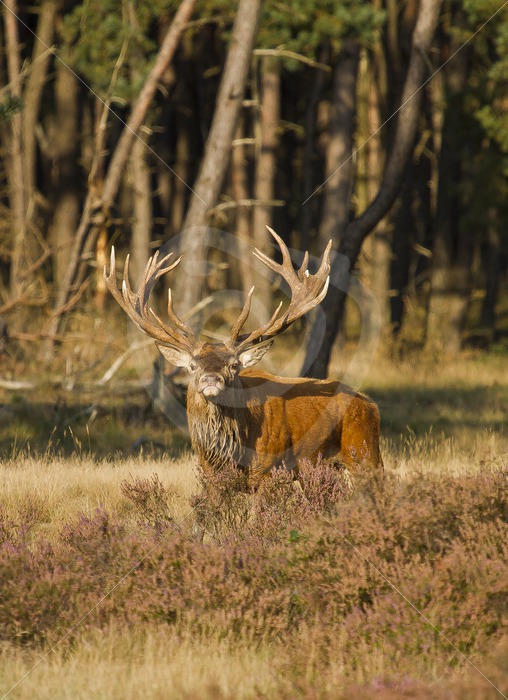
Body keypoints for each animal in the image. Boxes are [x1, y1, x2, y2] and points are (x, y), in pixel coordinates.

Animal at [105, 227, 383, 490]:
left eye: (234, 365)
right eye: (192, 366)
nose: (210, 379)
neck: (233, 453)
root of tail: (370, 404)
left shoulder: (271, 469)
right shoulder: (209, 475)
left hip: (366, 452)